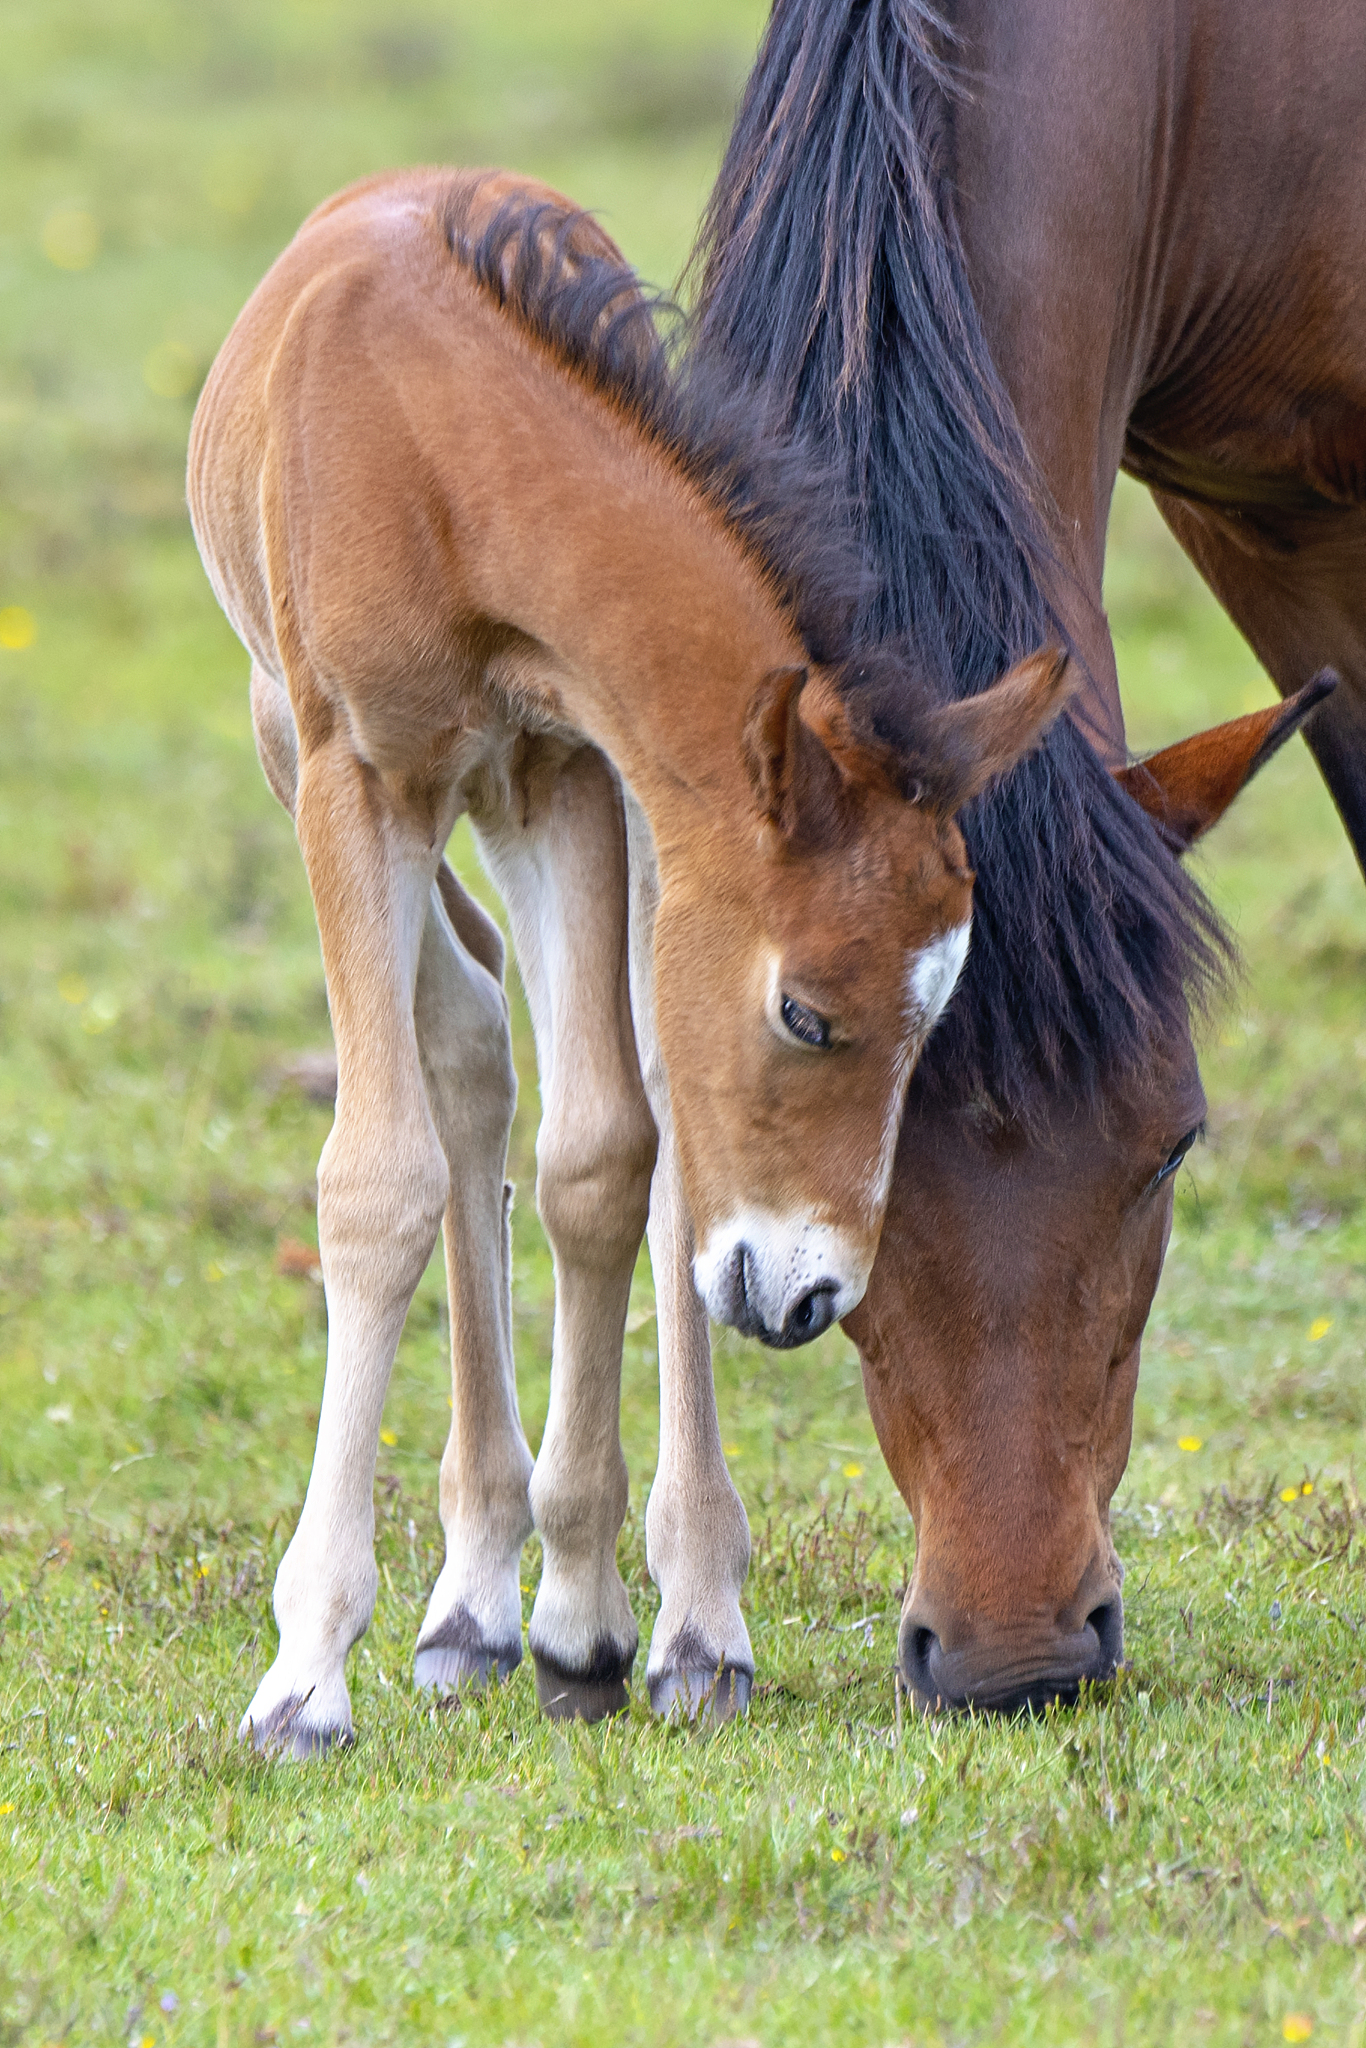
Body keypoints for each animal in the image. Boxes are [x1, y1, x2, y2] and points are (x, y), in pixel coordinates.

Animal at [187, 165, 1068, 1752]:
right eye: (806, 1012)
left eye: (934, 1019)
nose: (815, 1296)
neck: (437, 443)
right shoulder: (354, 776)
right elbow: (379, 1177)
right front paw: (305, 1672)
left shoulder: (570, 770)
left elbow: (604, 1154)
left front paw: (588, 1623)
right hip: (302, 747)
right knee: (467, 1043)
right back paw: (469, 1598)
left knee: (612, 1096)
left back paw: (647, 1618)